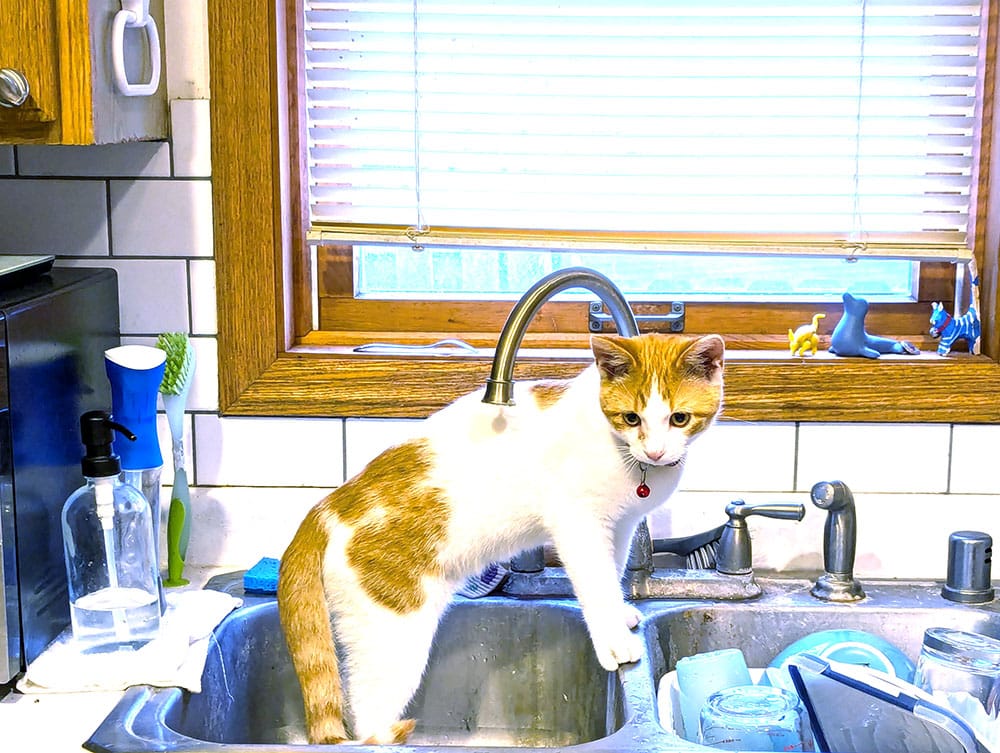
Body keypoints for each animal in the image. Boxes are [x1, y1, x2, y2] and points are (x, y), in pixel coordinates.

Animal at [278, 336, 724, 748]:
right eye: (631, 417)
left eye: (679, 418)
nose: (656, 451)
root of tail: (327, 507)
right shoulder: (579, 524)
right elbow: (596, 586)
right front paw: (614, 642)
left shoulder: (620, 526)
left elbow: (612, 574)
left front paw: (622, 616)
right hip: (391, 638)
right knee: (368, 719)